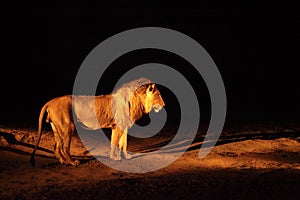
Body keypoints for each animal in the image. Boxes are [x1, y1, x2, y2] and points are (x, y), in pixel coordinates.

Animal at [29, 77, 165, 166]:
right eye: (158, 94)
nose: (164, 105)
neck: (136, 101)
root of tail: (50, 102)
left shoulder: (123, 126)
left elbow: (124, 143)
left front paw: (126, 156)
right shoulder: (118, 126)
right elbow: (115, 143)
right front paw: (114, 158)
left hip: (57, 128)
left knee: (56, 147)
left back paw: (63, 162)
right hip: (67, 127)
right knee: (64, 148)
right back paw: (73, 162)